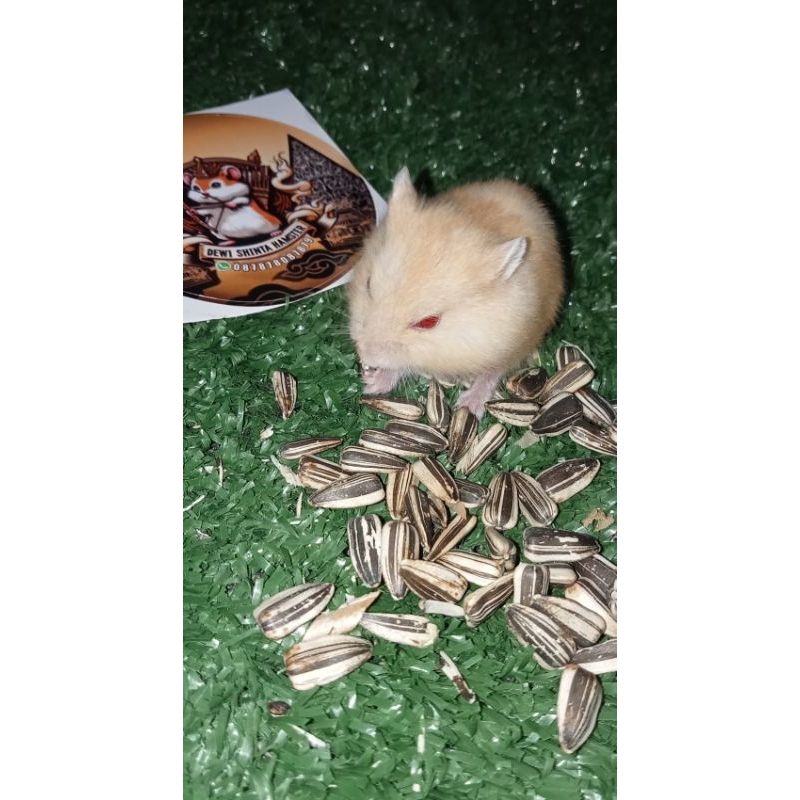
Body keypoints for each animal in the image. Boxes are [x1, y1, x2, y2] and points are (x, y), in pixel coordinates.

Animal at [347, 168, 565, 416]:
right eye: (368, 284)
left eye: (429, 322)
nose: (365, 355)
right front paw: (371, 383)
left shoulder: (508, 345)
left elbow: (492, 372)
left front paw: (467, 406)